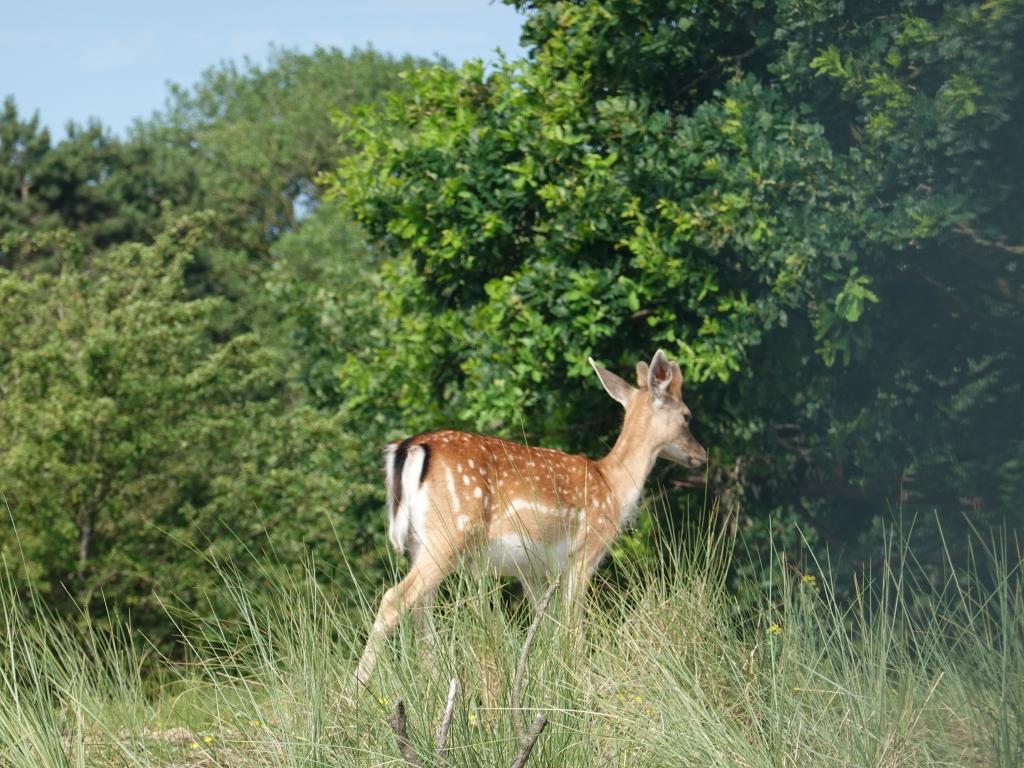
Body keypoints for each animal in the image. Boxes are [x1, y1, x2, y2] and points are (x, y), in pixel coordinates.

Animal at [358, 352, 704, 684]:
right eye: (687, 415)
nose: (702, 455)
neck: (613, 487)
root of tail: (409, 447)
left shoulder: (532, 570)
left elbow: (546, 628)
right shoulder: (585, 551)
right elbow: (570, 626)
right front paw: (577, 679)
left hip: (419, 542)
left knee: (421, 611)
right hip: (449, 533)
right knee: (393, 599)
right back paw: (356, 689)